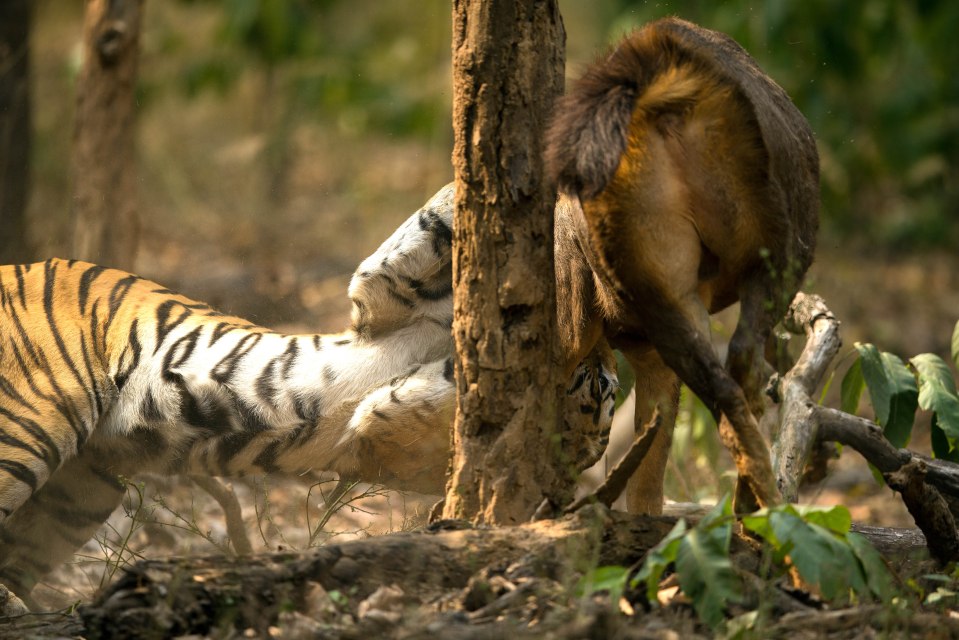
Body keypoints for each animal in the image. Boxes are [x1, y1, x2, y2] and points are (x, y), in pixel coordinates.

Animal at [0, 182, 616, 612]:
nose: (603, 371)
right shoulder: (385, 300)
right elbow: (432, 219)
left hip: (78, 486)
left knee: (18, 555)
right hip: (38, 425)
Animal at [548, 17, 816, 512]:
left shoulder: (635, 345)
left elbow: (645, 479)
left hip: (681, 294)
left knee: (730, 385)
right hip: (769, 262)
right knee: (740, 371)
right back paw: (759, 515)